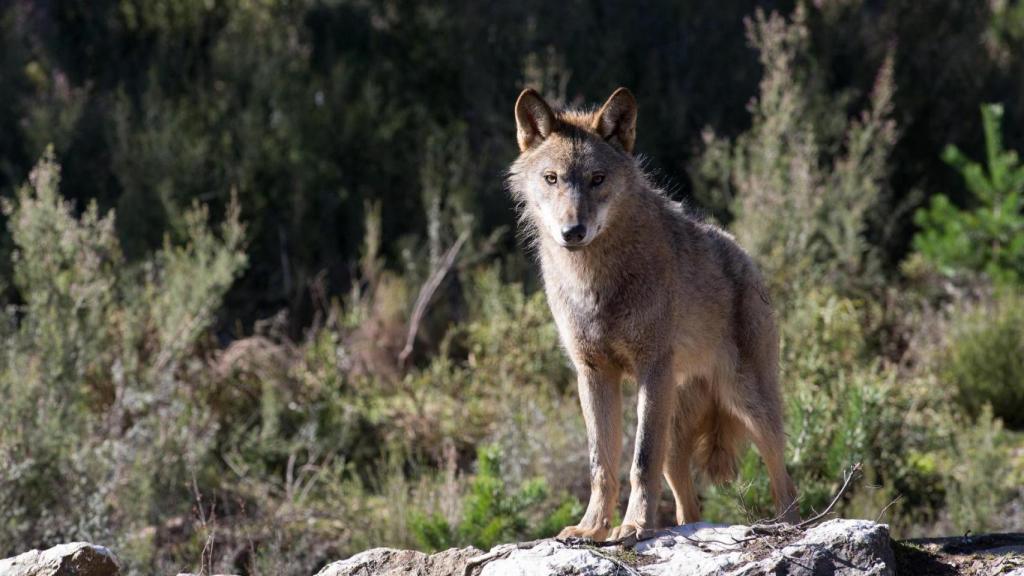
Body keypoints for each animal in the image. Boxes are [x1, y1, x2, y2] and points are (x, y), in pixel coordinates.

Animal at [507, 87, 799, 541]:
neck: (595, 280)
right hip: (676, 437)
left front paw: (633, 526)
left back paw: (788, 527)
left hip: (748, 404)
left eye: (597, 179)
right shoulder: (593, 373)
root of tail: (745, 256)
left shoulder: (651, 367)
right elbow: (601, 465)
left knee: (785, 482)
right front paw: (591, 528)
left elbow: (640, 461)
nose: (573, 232)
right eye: (551, 178)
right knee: (688, 506)